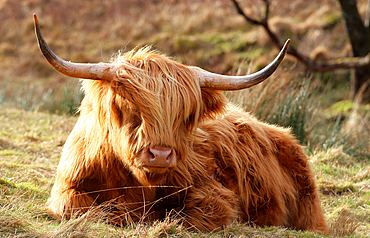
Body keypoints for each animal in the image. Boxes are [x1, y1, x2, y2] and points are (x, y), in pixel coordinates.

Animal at [34, 13, 326, 233]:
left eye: (186, 116)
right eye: (130, 107)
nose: (161, 155)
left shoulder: (214, 194)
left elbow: (191, 217)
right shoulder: (66, 187)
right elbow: (80, 208)